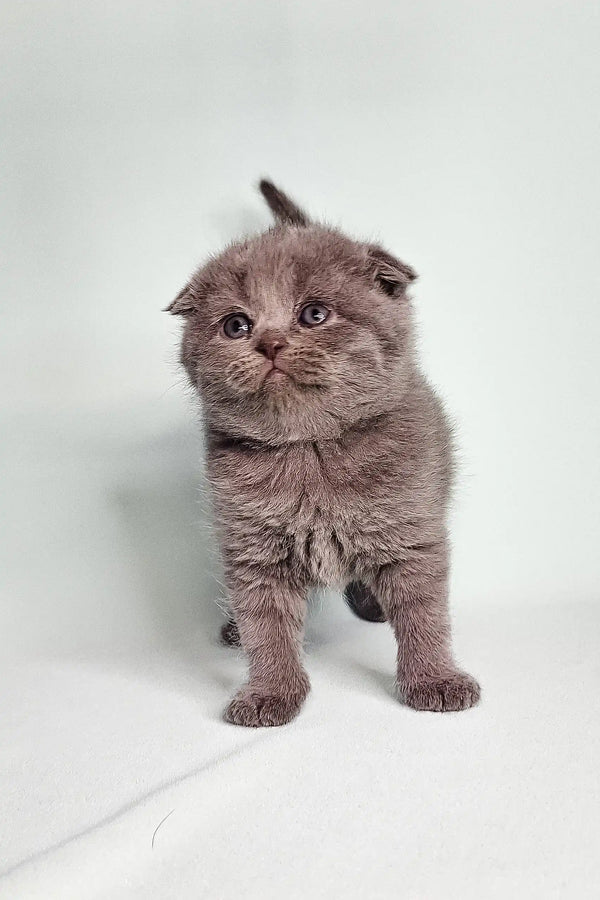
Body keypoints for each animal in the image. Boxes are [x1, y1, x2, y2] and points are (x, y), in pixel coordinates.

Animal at [168, 181, 478, 724]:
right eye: (235, 326)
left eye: (314, 314)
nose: (270, 342)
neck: (309, 451)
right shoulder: (252, 548)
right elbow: (266, 625)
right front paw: (271, 692)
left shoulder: (412, 531)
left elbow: (424, 613)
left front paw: (434, 680)